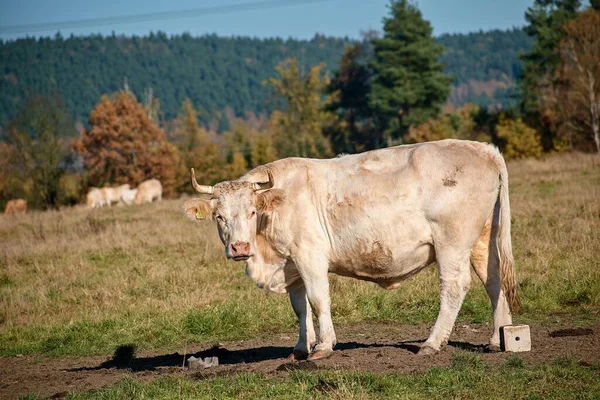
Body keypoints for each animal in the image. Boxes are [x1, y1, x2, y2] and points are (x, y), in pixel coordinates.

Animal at [183, 139, 520, 360]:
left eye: (252, 212)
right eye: (219, 216)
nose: (239, 247)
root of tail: (482, 148)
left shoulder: (309, 256)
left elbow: (318, 300)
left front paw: (323, 347)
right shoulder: (291, 264)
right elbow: (300, 307)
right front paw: (300, 348)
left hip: (452, 241)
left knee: (454, 286)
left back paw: (432, 342)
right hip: (483, 239)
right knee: (493, 282)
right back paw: (498, 338)